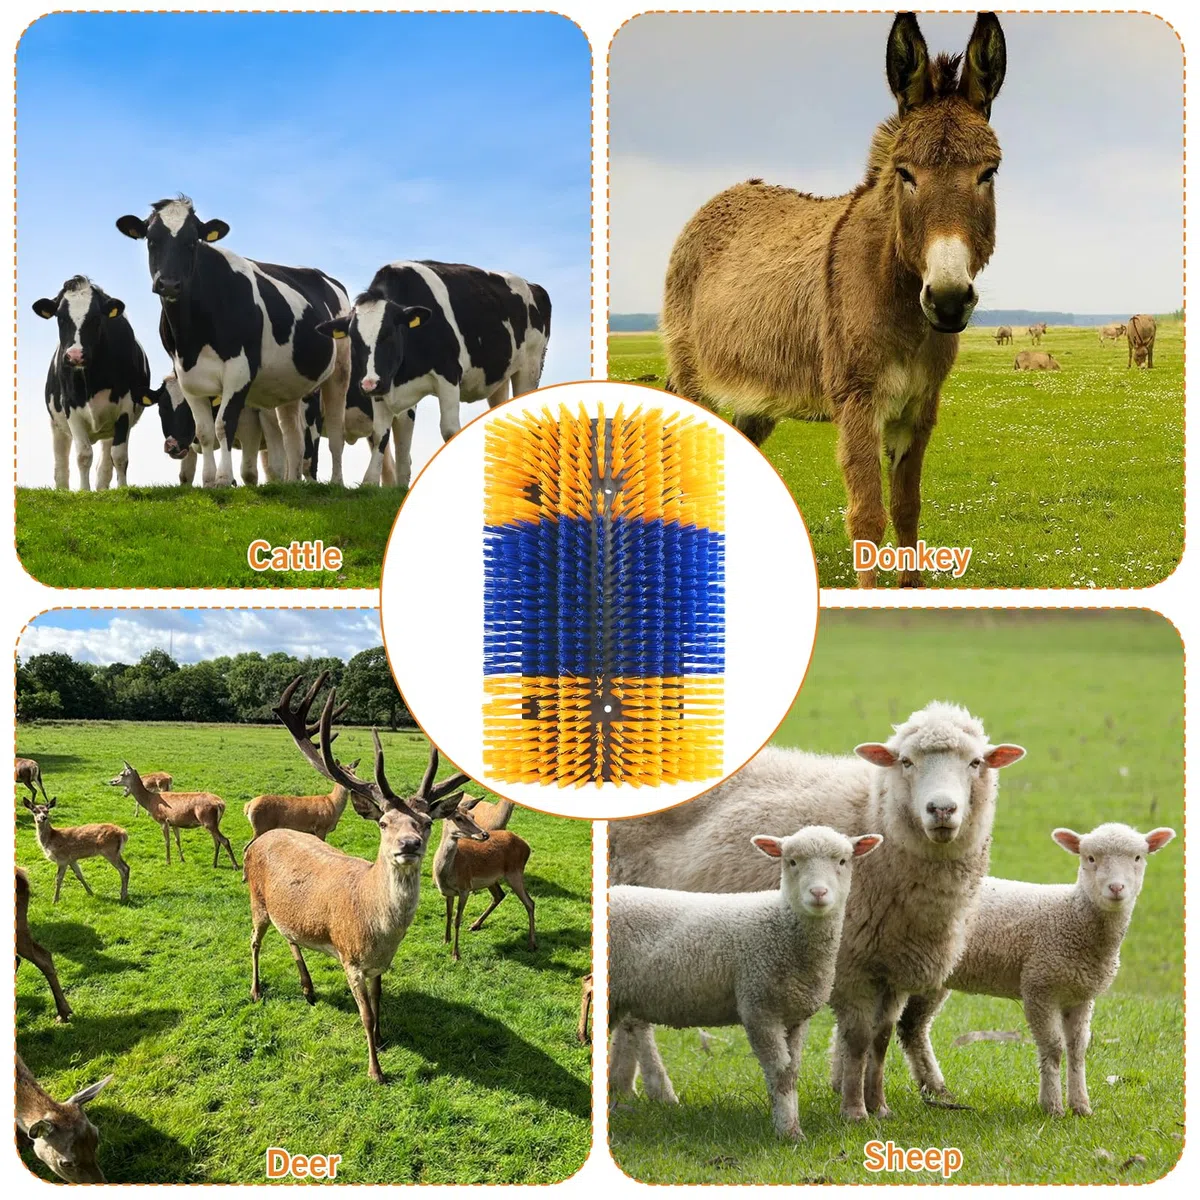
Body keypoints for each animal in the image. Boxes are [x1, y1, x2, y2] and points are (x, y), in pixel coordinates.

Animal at [33, 276, 151, 491]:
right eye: (60, 318)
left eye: (96, 318)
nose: (75, 355)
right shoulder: (70, 407)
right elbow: (83, 454)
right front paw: (84, 491)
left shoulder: (125, 407)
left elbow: (119, 456)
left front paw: (123, 490)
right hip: (56, 424)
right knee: (61, 462)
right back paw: (62, 489)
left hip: (110, 427)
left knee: (106, 462)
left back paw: (102, 489)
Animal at [115, 197, 351, 487]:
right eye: (151, 240)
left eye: (192, 242)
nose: (169, 284)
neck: (193, 337)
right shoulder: (186, 376)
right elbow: (205, 431)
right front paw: (208, 481)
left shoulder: (240, 371)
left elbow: (223, 424)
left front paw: (223, 479)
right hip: (290, 384)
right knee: (292, 435)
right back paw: (291, 483)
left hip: (340, 371)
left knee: (336, 431)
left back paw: (337, 481)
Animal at [316, 260, 551, 487]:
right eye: (354, 340)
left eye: (388, 334)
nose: (368, 385)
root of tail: (533, 286)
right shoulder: (383, 385)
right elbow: (382, 434)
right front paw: (373, 482)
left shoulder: (448, 375)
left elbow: (449, 430)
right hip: (499, 378)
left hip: (530, 366)